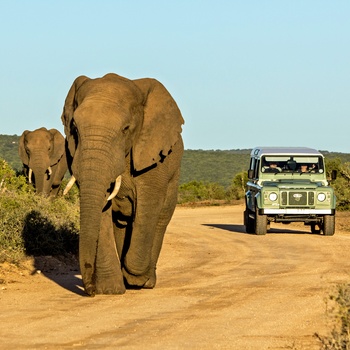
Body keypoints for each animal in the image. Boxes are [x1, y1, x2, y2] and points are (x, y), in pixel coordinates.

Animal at [61, 72, 185, 296]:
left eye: (125, 129)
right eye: (74, 128)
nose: (90, 290)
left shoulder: (154, 159)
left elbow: (148, 206)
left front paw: (135, 278)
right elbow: (102, 211)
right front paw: (110, 289)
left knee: (160, 218)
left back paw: (146, 282)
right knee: (121, 223)